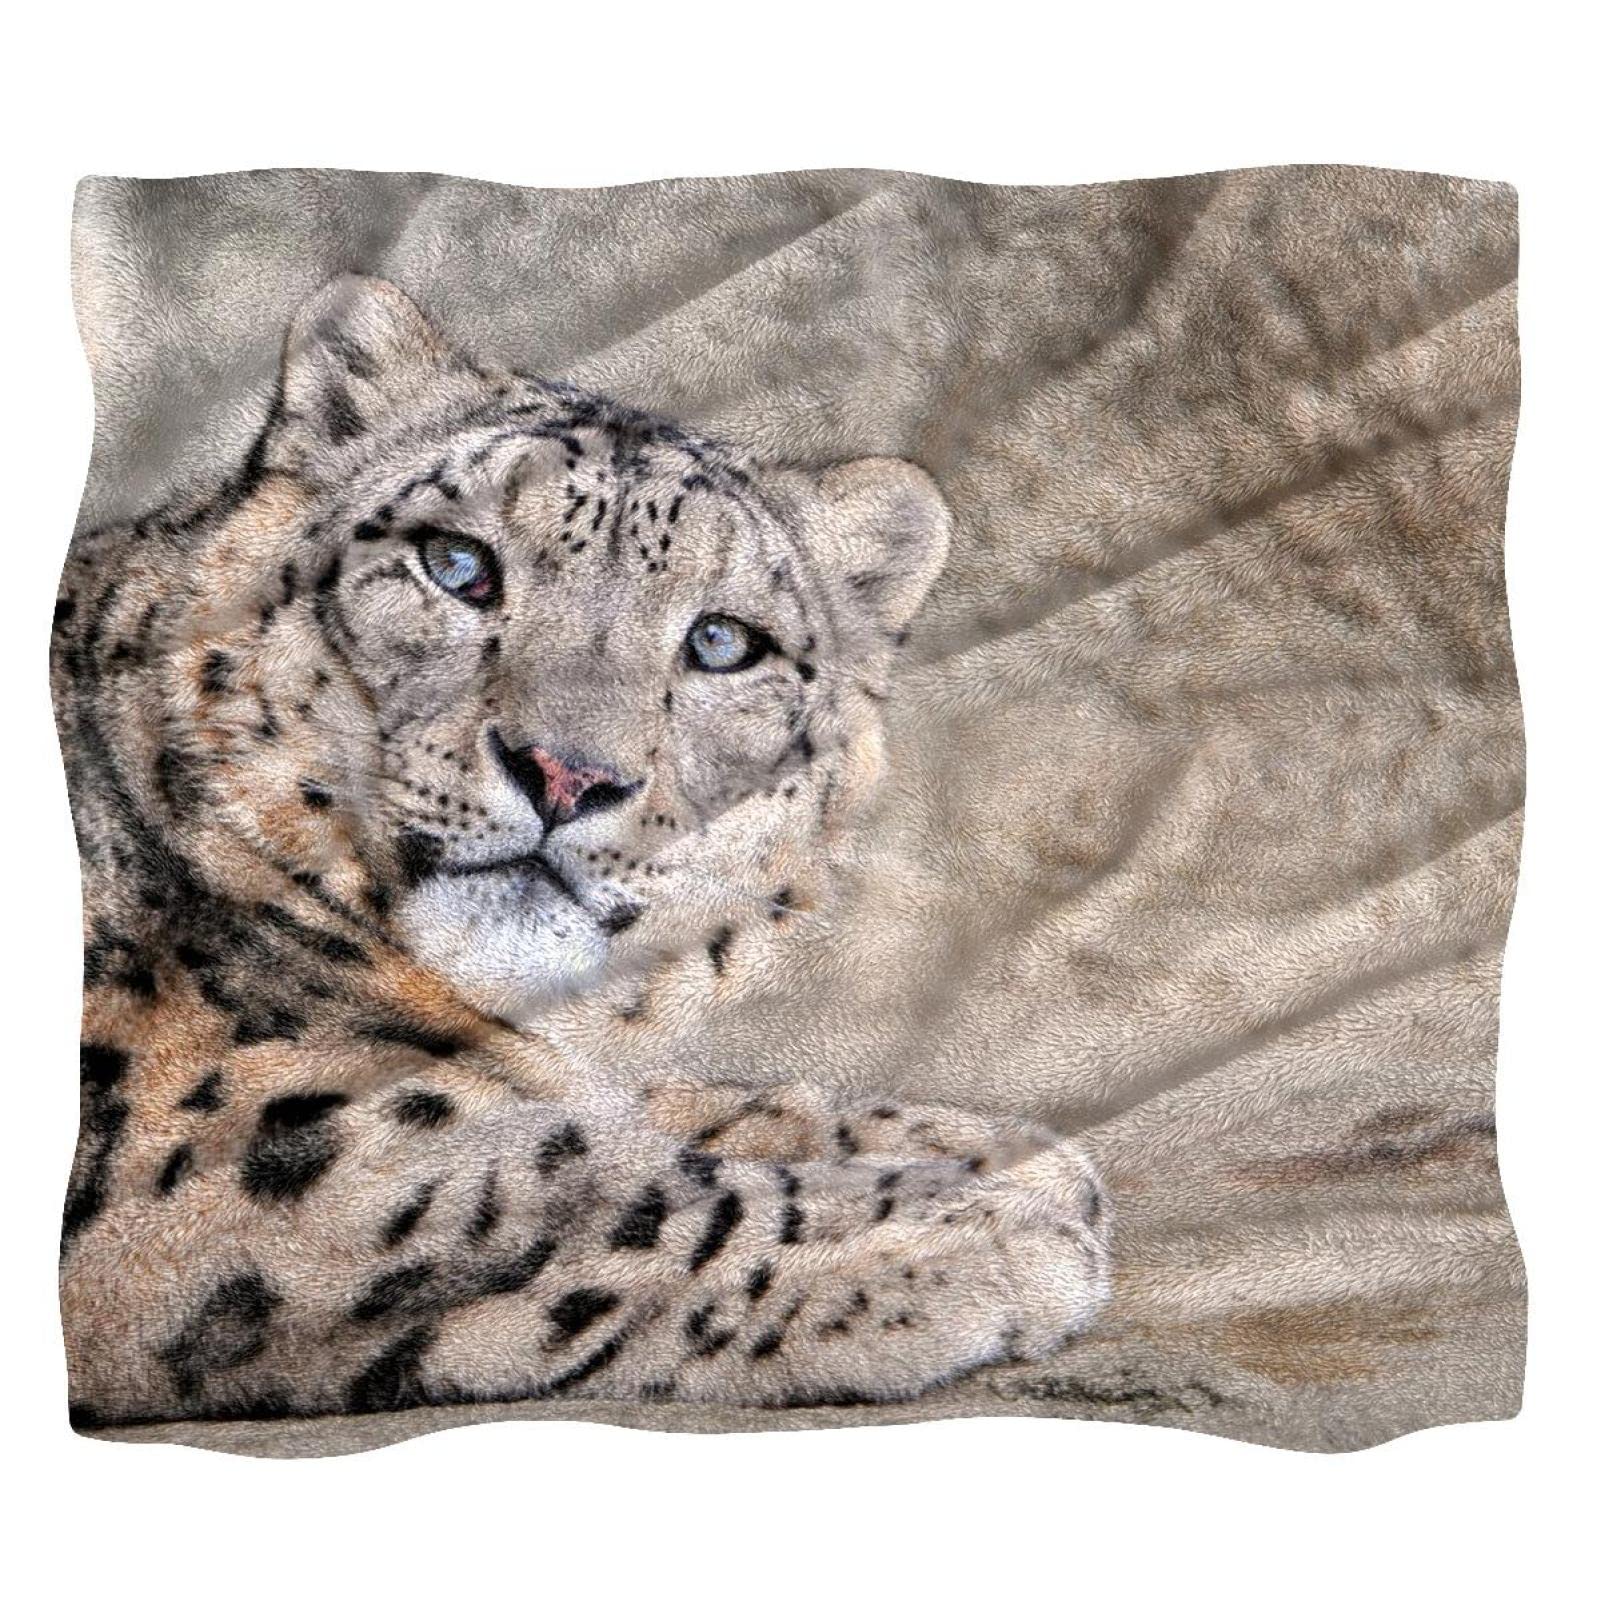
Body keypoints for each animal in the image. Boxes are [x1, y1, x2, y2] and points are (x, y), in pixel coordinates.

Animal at [52, 274, 1110, 1432]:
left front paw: (996, 1153)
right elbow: (577, 1192)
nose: (566, 773)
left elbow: (657, 1107)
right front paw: (978, 1223)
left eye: (720, 641)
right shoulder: (246, 1167)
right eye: (457, 564)